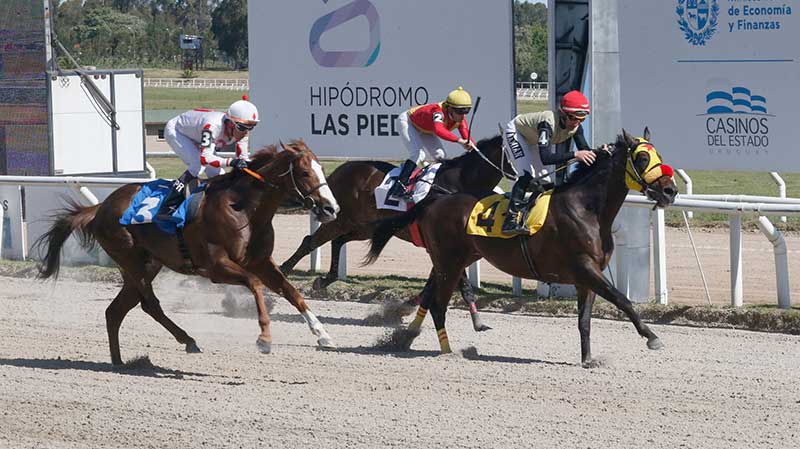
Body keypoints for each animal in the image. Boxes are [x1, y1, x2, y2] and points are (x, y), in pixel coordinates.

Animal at [35, 140, 341, 366]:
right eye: (304, 173)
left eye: (322, 168)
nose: (331, 208)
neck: (244, 208)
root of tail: (100, 207)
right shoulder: (216, 267)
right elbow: (254, 284)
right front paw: (264, 339)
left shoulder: (261, 261)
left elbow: (292, 292)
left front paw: (323, 335)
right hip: (131, 259)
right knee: (150, 305)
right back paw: (187, 340)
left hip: (147, 264)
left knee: (116, 310)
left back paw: (120, 362)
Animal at [280, 135, 514, 332]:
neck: (457, 184)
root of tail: (337, 172)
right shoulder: (444, 245)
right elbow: (460, 282)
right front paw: (478, 321)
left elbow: (434, 282)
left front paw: (405, 307)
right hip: (339, 219)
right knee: (310, 242)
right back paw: (284, 272)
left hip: (364, 227)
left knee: (338, 241)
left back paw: (326, 279)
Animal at [365, 129, 678, 368]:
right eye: (642, 157)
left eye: (660, 157)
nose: (670, 191)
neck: (586, 208)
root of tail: (434, 199)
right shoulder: (585, 267)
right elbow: (622, 299)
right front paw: (652, 337)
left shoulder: (585, 278)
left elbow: (585, 321)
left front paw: (588, 359)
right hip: (448, 262)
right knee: (438, 305)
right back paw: (446, 351)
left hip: (456, 260)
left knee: (432, 298)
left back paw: (412, 338)